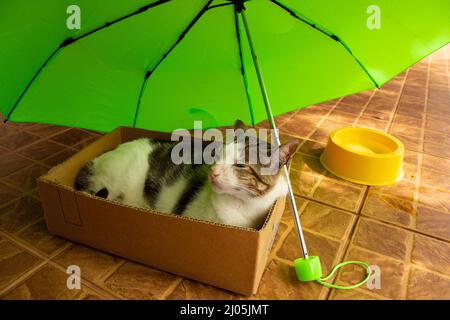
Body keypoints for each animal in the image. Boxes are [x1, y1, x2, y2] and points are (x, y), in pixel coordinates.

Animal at [74, 119, 298, 228]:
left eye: (241, 165)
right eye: (218, 154)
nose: (213, 172)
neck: (245, 207)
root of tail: (97, 158)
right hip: (112, 182)